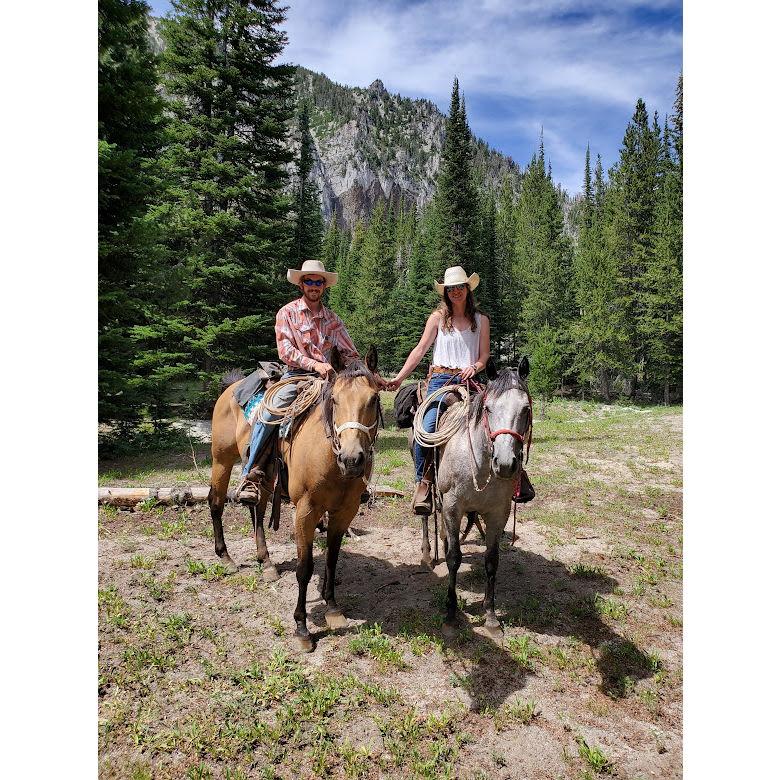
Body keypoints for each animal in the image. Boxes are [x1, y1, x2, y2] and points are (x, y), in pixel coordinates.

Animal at [207, 348, 380, 652]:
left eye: (374, 398)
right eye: (334, 399)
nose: (352, 459)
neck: (328, 457)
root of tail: (231, 388)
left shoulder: (344, 512)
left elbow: (332, 560)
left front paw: (333, 608)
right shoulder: (305, 512)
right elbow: (304, 568)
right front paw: (302, 628)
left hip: (265, 480)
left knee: (257, 510)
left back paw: (266, 563)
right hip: (222, 461)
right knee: (216, 504)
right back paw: (226, 557)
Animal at [436, 360, 532, 640]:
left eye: (526, 409)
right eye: (488, 408)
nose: (506, 464)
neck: (478, 463)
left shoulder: (498, 513)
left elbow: (491, 561)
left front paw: (490, 617)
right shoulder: (452, 507)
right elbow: (454, 558)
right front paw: (450, 615)